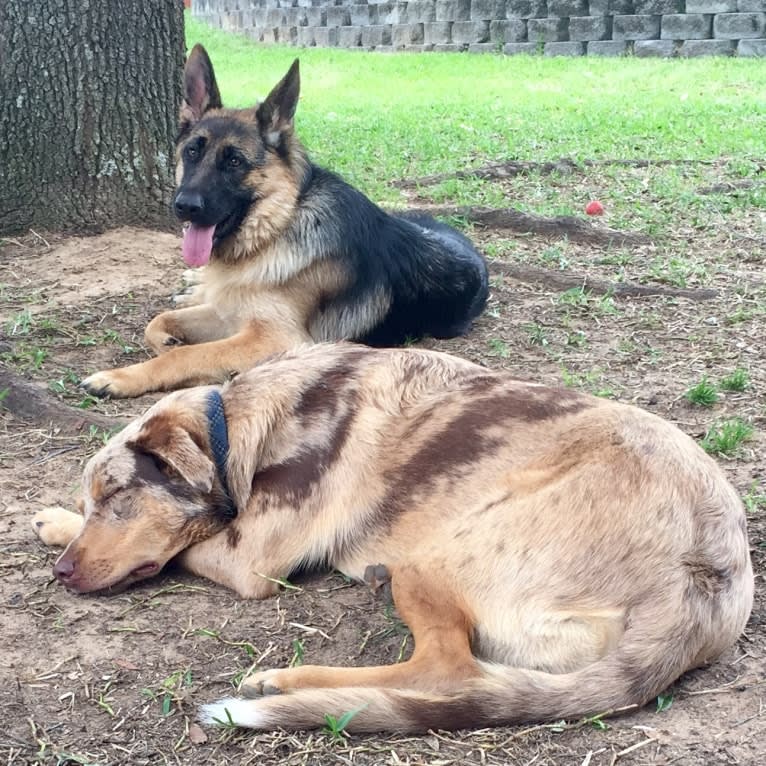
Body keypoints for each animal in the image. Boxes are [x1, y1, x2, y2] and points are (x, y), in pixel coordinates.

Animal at [33, 344, 752, 736]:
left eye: (119, 499)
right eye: (96, 499)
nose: (62, 575)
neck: (235, 424)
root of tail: (700, 584)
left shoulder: (248, 560)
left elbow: (181, 547)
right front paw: (53, 520)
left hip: (436, 558)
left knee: (446, 671)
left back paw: (285, 682)